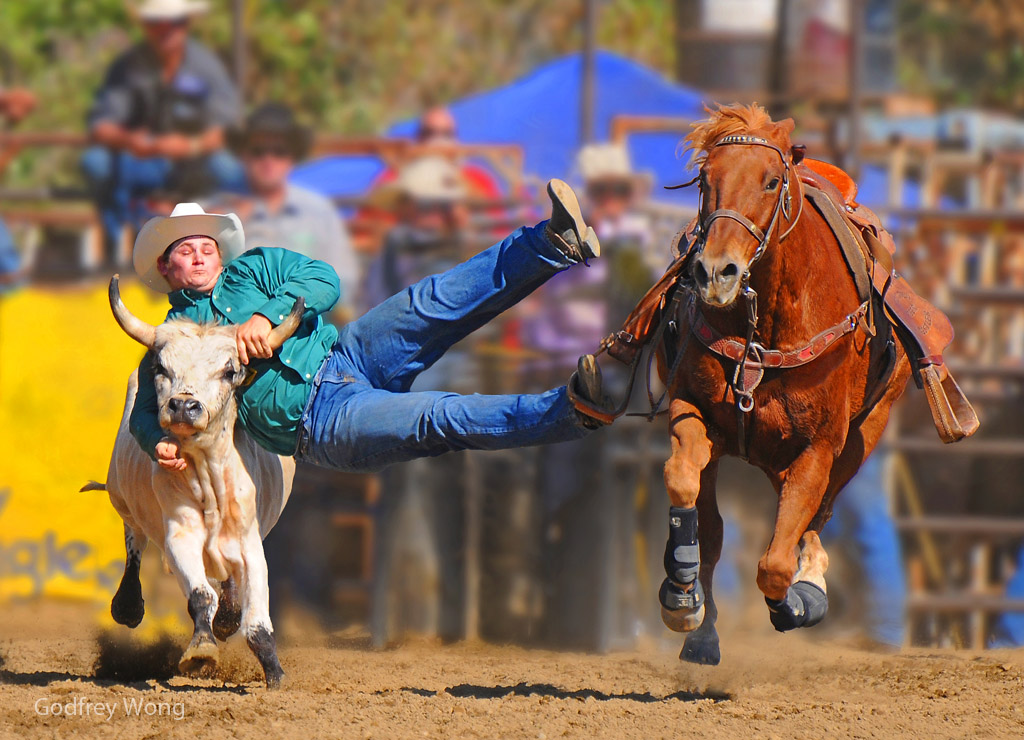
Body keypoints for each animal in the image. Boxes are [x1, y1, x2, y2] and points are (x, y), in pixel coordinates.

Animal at [655, 105, 913, 667]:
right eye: (704, 181)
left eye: (772, 181)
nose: (716, 273)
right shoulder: (692, 410)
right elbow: (686, 486)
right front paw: (682, 595)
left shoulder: (818, 448)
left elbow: (775, 564)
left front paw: (797, 601)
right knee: (720, 528)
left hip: (863, 436)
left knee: (818, 514)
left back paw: (811, 579)